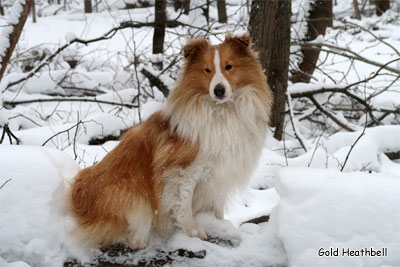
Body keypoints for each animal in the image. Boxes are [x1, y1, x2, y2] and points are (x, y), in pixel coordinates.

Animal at [69, 33, 272, 249]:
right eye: (207, 70)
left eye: (229, 66)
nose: (218, 90)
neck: (221, 110)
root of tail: (78, 203)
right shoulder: (183, 170)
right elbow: (183, 204)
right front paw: (192, 232)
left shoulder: (219, 172)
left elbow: (216, 205)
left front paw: (220, 224)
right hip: (130, 194)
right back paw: (138, 239)